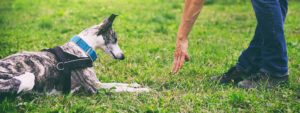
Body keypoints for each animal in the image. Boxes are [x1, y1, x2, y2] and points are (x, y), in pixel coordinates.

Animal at [0, 14, 150, 95]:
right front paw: (143, 90)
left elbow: (119, 83)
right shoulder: (95, 86)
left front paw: (135, 85)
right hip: (28, 78)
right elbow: (120, 87)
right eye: (115, 39)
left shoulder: (98, 83)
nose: (123, 56)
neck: (82, 48)